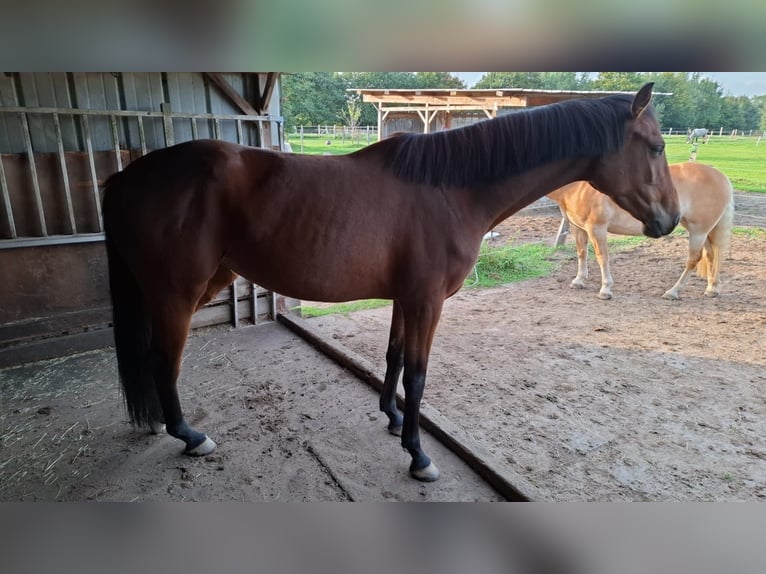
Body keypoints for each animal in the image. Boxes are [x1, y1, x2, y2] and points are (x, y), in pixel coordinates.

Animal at [102, 83, 678, 483]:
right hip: (177, 293)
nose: (670, 220)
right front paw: (419, 455)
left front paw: (394, 418)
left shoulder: (407, 298)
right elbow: (418, 376)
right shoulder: (427, 302)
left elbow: (395, 358)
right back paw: (188, 435)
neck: (450, 189)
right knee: (164, 361)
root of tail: (127, 176)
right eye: (655, 147)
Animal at [547, 162, 733, 300]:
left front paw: (605, 289)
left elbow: (602, 257)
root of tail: (722, 177)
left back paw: (673, 292)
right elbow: (582, 253)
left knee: (694, 259)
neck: (578, 186)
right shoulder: (578, 228)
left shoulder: (597, 228)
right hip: (703, 231)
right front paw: (578, 281)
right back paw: (712, 289)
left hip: (698, 231)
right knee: (711, 255)